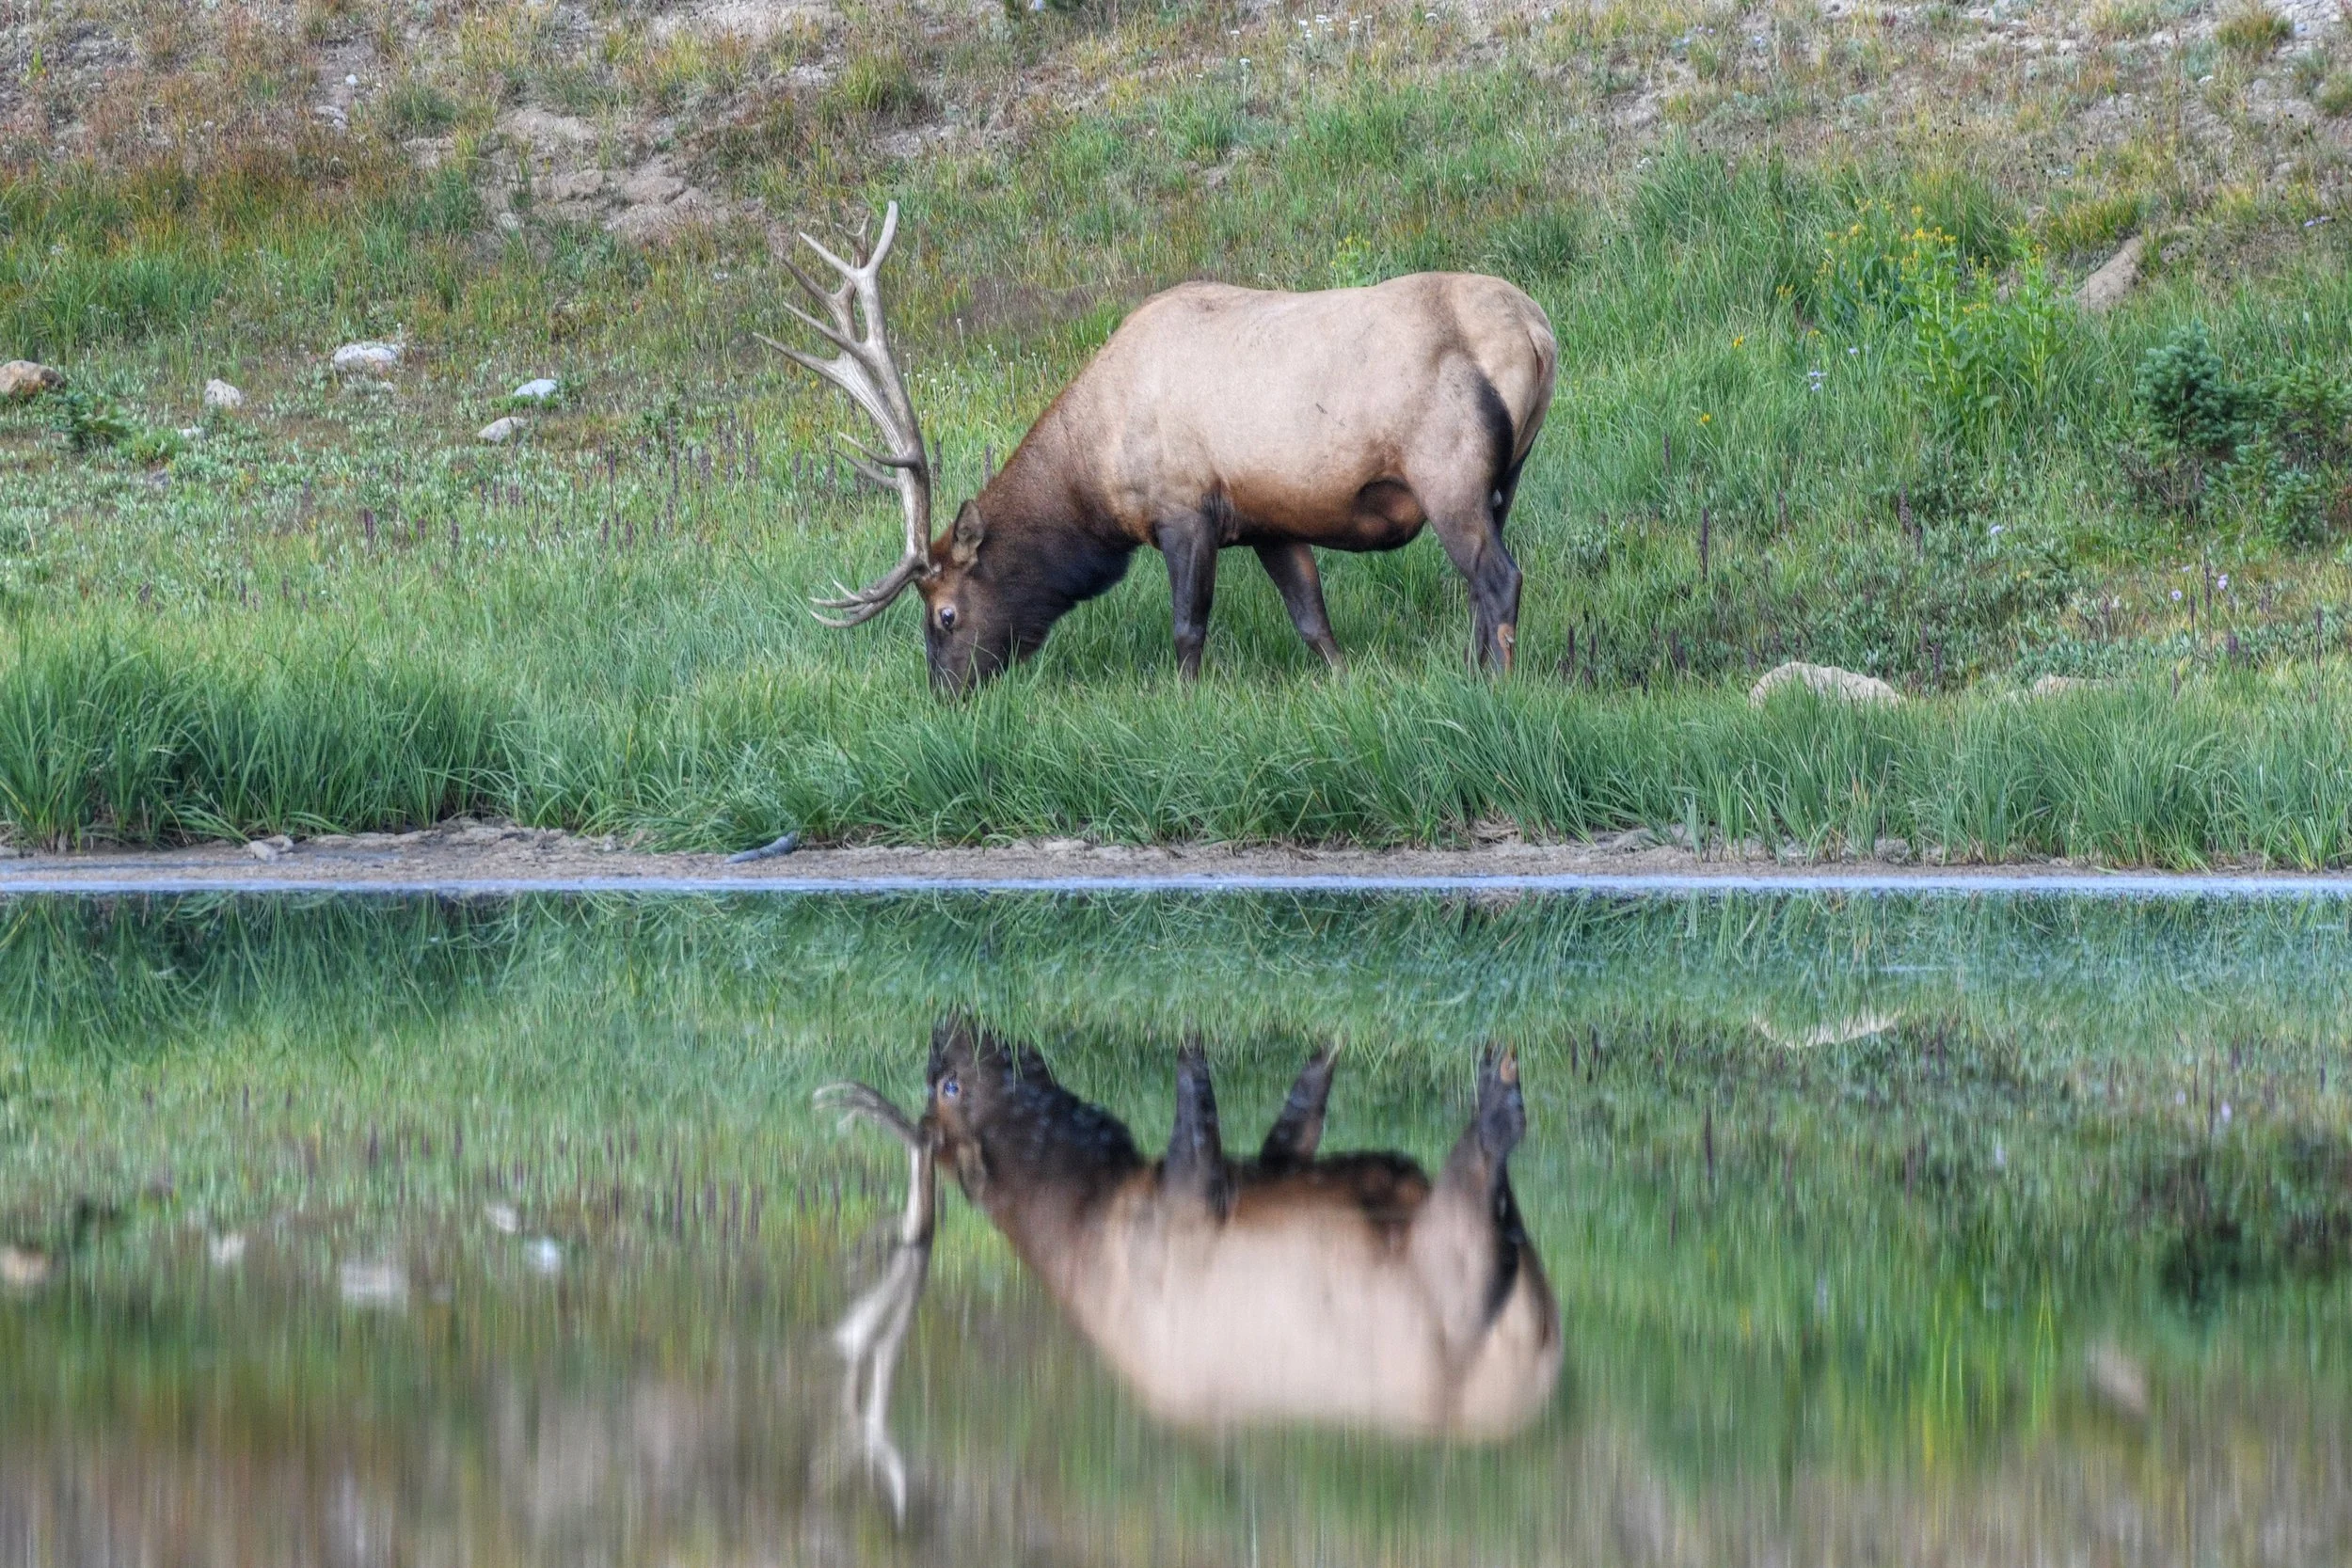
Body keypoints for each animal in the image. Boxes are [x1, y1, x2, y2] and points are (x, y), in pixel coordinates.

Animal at [761, 204, 1557, 693]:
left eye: (945, 614)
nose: (945, 694)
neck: (1095, 475)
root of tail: (1539, 332)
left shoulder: (1184, 509)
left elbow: (1187, 627)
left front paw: (1185, 702)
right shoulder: (1268, 519)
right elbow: (1313, 620)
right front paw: (1344, 682)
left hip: (1446, 469)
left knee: (1499, 579)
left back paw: (1498, 686)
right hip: (1506, 476)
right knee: (1480, 586)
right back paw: (1472, 670)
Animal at [814, 1016, 1559, 1492]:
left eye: (950, 1085)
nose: (949, 1022)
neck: (1088, 1215)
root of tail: (1543, 1354)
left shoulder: (1199, 1193)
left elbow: (1218, 1077)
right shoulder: (1216, 1186)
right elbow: (1275, 1099)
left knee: (1502, 1134)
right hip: (1466, 1242)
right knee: (1502, 1141)